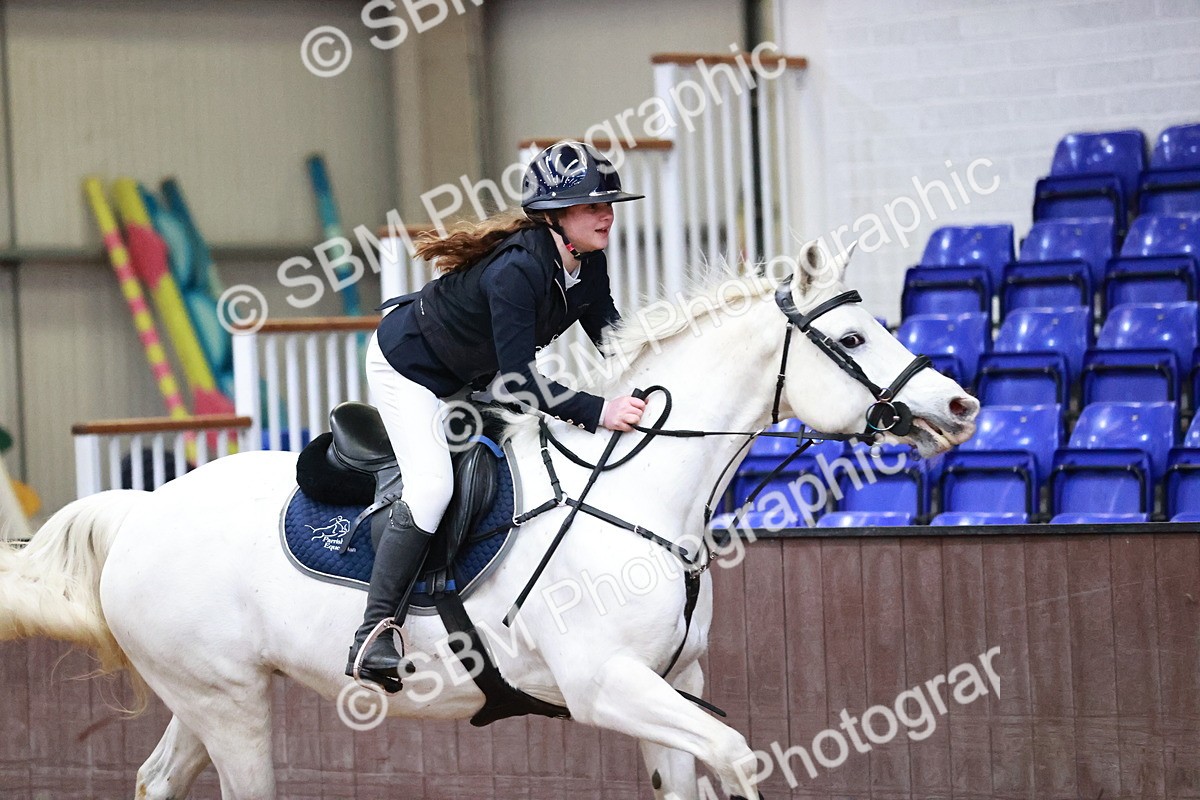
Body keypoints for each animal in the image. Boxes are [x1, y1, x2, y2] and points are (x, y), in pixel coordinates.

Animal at [0, 242, 978, 799]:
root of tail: (142, 511)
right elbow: (738, 758)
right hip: (226, 702)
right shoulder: (605, 685)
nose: (962, 406)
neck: (637, 494)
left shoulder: (672, 682)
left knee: (156, 779)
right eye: (851, 340)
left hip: (213, 695)